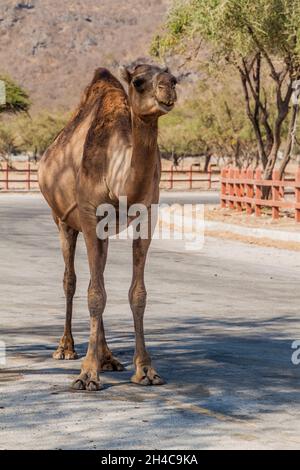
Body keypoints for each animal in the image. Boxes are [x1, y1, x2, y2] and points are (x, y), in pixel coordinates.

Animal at [38, 64, 177, 392]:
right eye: (138, 82)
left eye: (174, 76)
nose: (168, 86)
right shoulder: (89, 216)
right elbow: (94, 294)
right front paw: (87, 375)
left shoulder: (147, 216)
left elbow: (136, 293)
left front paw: (146, 370)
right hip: (62, 221)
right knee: (72, 280)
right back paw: (66, 349)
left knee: (95, 277)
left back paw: (108, 358)